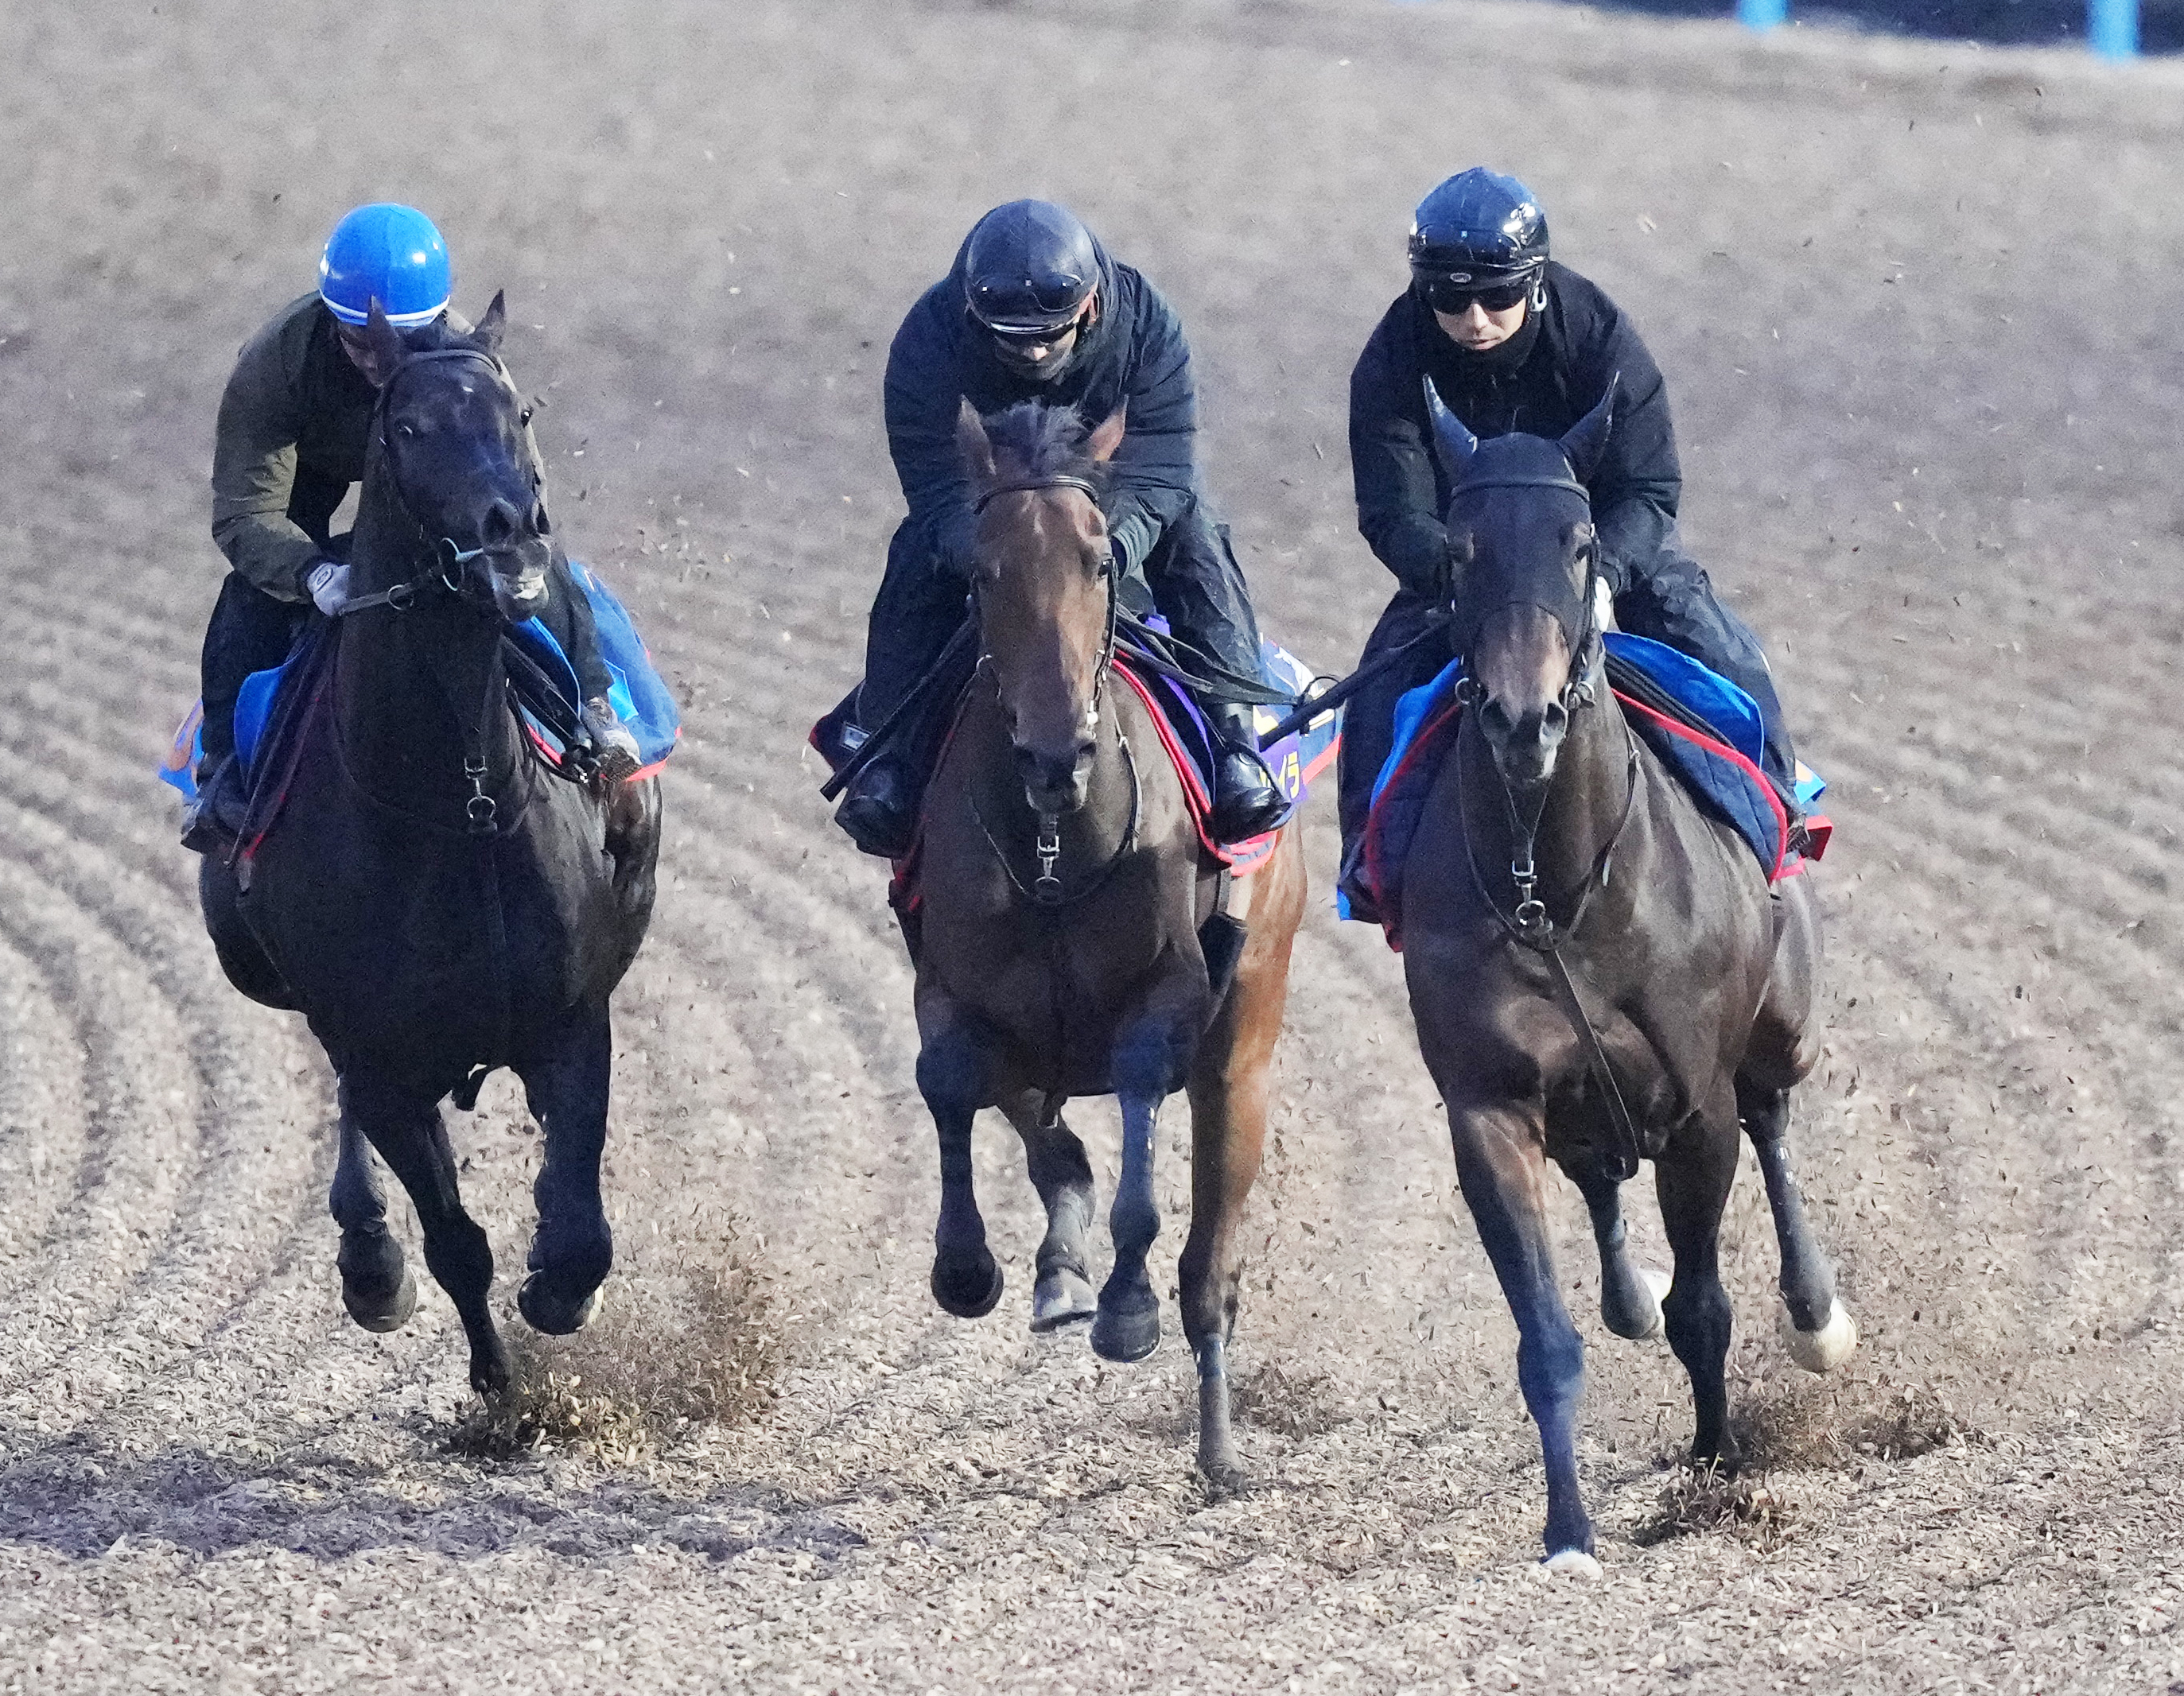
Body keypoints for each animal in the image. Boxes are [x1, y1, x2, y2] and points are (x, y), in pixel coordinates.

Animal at [198, 298, 662, 1399]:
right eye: (407, 429)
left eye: (518, 411)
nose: (513, 535)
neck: (460, 805)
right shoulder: (377, 1053)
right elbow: (456, 1241)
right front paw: (502, 1394)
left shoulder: (573, 1018)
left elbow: (579, 1235)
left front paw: (558, 1291)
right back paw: (369, 1258)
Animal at [903, 399, 1305, 1490]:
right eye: (984, 571)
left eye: (1097, 562)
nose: (1054, 751)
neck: (1054, 845)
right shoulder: (956, 991)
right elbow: (949, 1079)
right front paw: (971, 1266)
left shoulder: (1166, 999)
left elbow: (1137, 1111)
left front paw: (1126, 1308)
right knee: (1051, 1142)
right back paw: (1058, 1270)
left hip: (1245, 1041)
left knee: (1212, 1266)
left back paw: (1217, 1445)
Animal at [1395, 380, 1854, 1571]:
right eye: (1457, 550)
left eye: (1581, 541)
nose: (1523, 716)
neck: (1554, 886)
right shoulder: (1490, 1111)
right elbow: (1546, 1340)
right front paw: (1568, 1532)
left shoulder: (1694, 1103)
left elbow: (1706, 1303)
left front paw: (1718, 1466)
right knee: (1603, 1179)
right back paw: (1627, 1296)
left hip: (1780, 1022)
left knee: (1773, 1118)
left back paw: (1816, 1315)